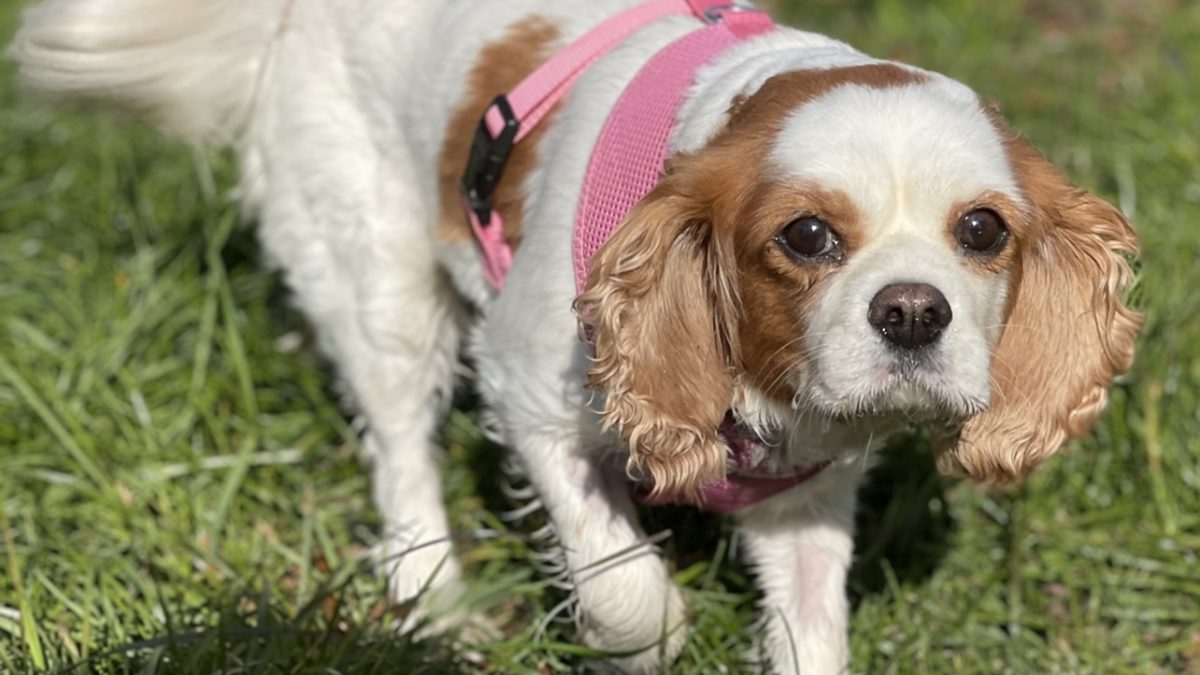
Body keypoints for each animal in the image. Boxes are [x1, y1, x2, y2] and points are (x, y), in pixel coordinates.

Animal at [11, 1, 1142, 667]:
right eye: (808, 236)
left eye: (982, 230)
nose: (913, 309)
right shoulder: (532, 394)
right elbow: (627, 583)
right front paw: (633, 639)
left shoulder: (803, 498)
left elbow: (810, 630)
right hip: (378, 274)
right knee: (400, 447)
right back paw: (433, 597)